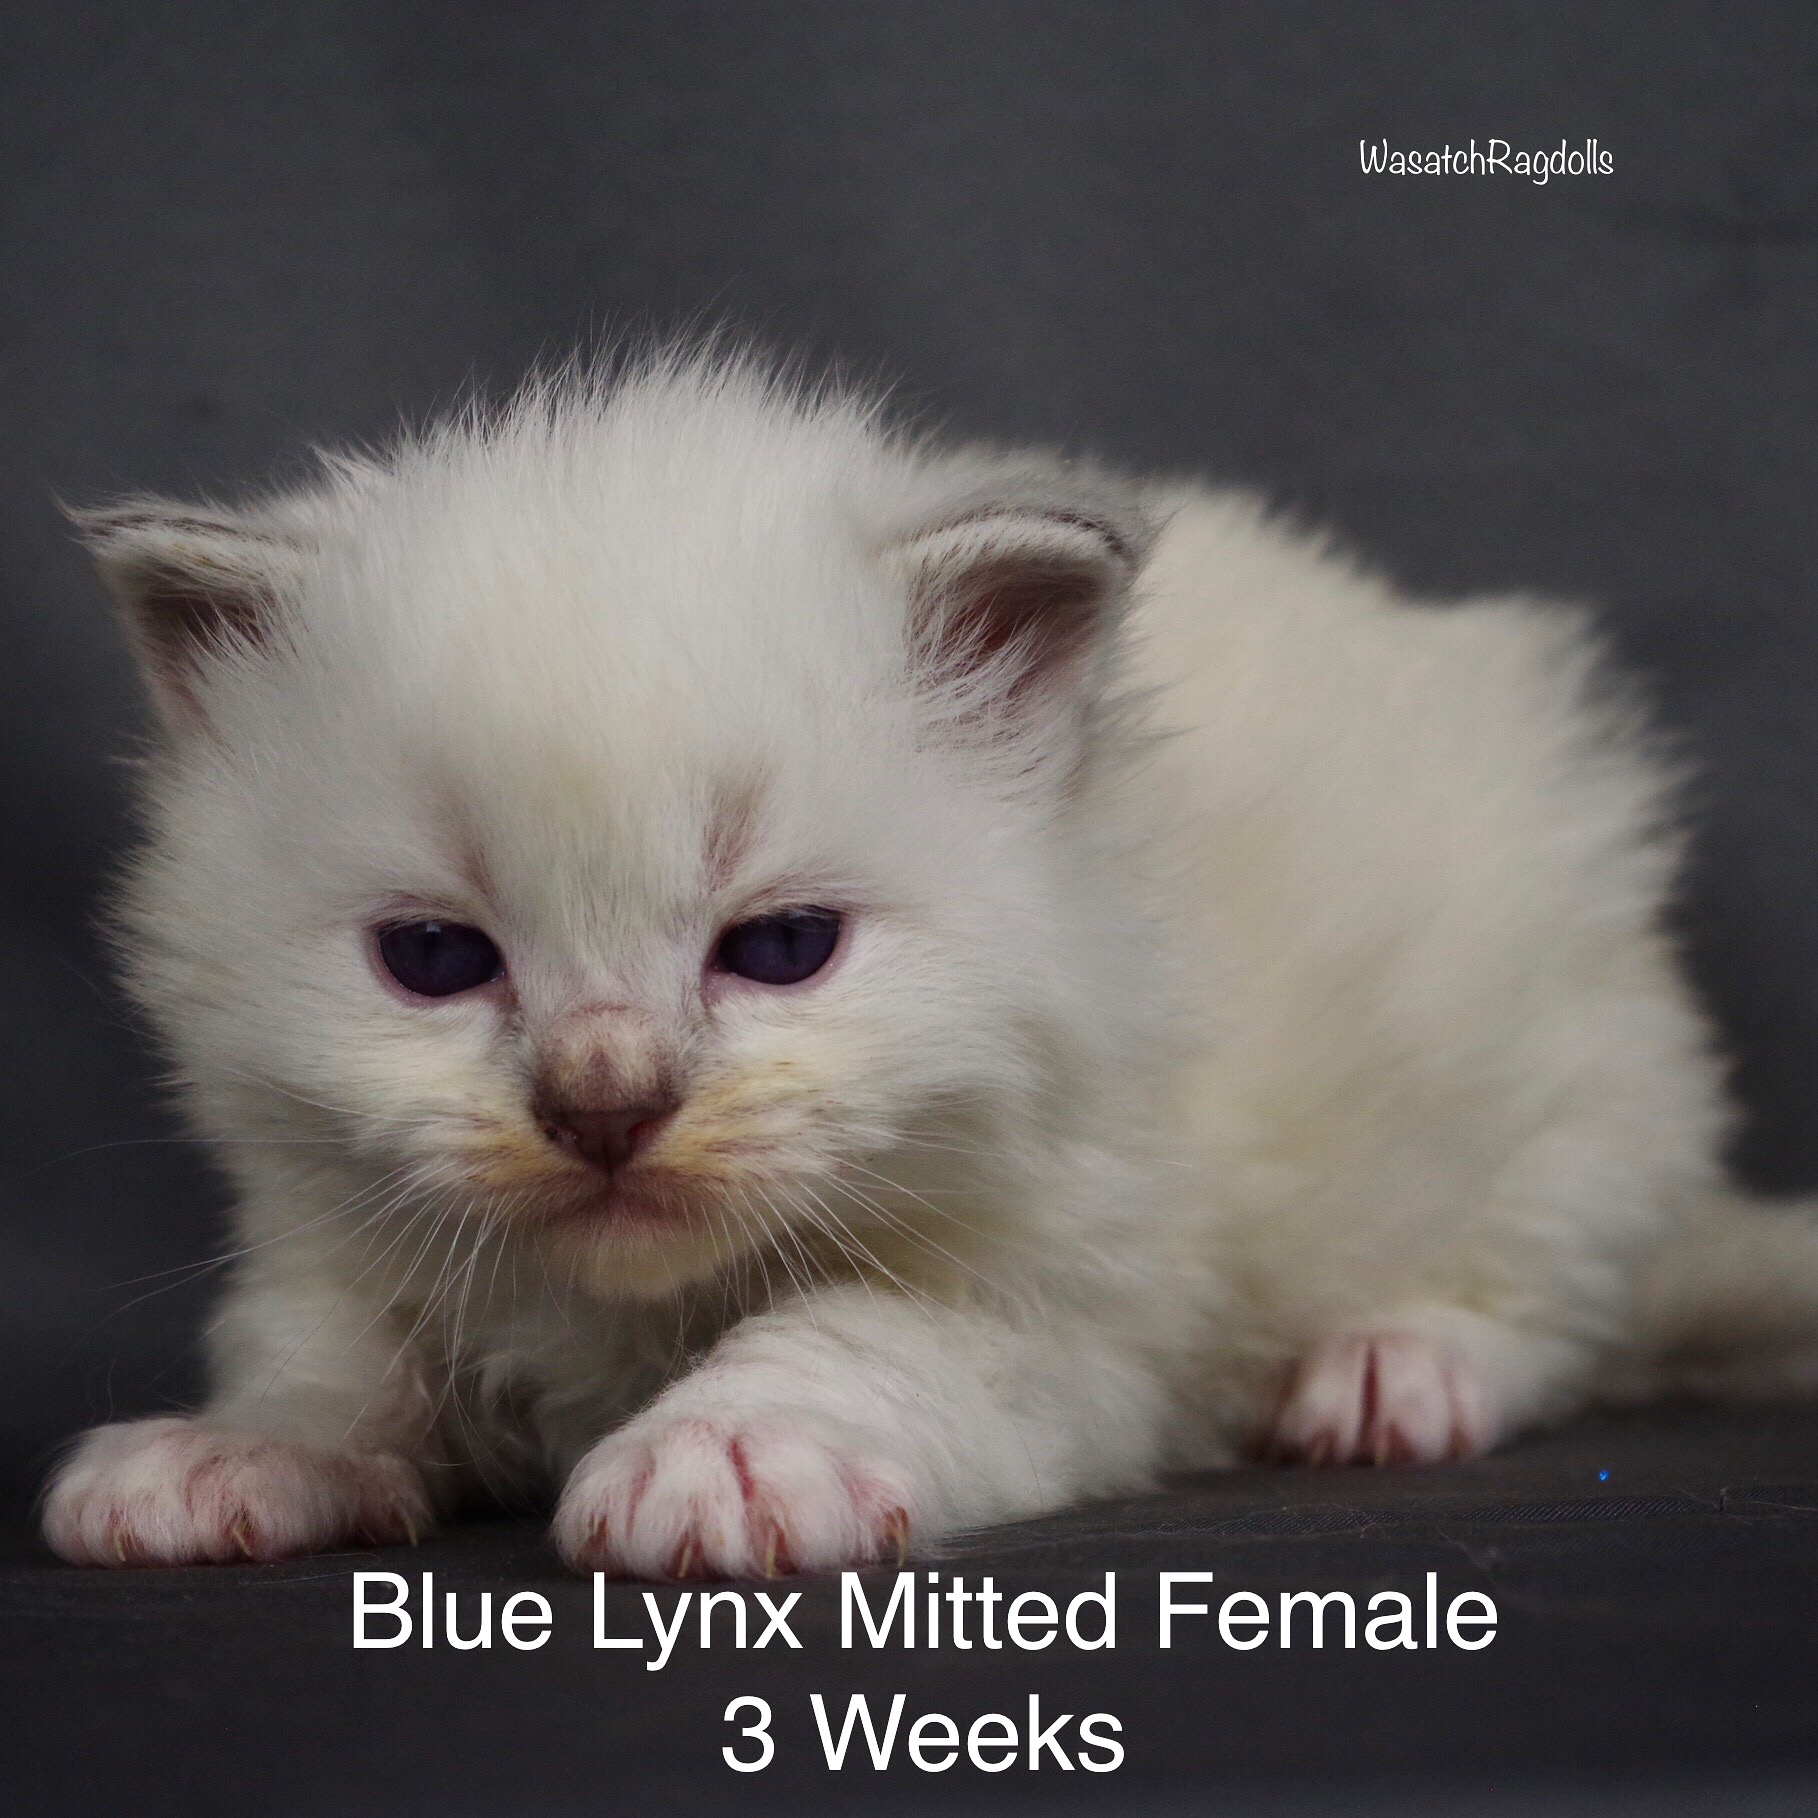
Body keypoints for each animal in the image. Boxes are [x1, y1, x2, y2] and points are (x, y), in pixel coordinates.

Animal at [40, 348, 1818, 1578]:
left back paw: (1390, 1370)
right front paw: (228, 1454)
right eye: (432, 958)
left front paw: (733, 1449)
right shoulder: (343, 1236)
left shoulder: (1078, 1311)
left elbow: (860, 1334)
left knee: (1544, 1300)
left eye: (779, 948)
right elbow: (323, 1362)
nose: (604, 1103)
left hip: (1556, 1077)